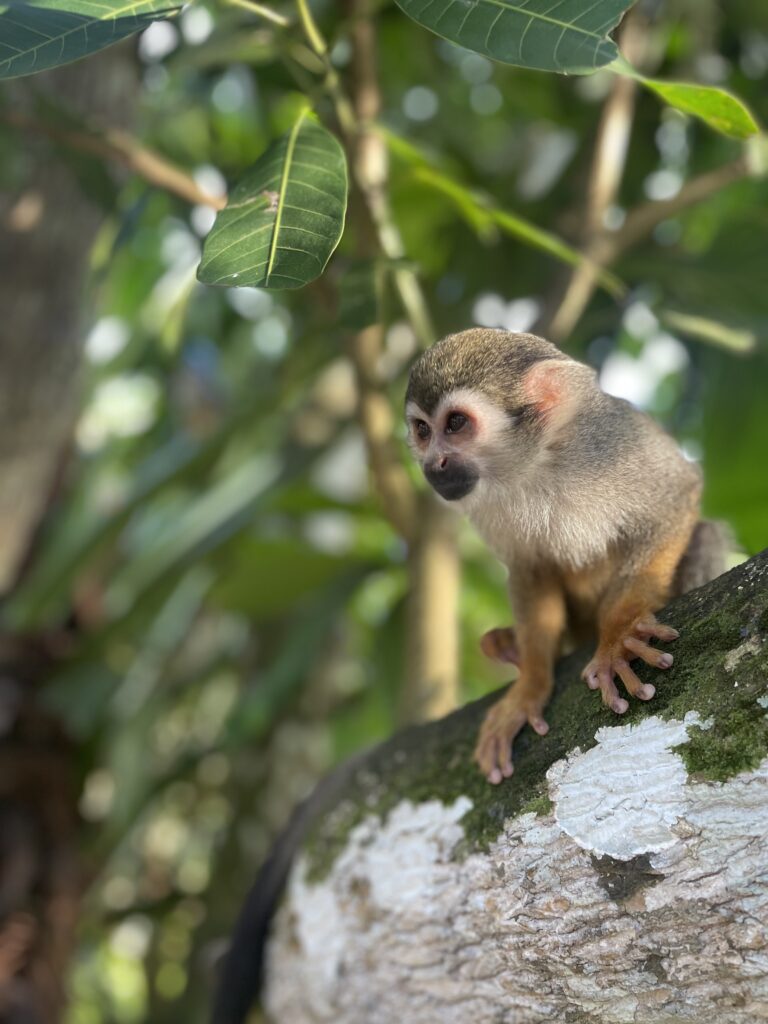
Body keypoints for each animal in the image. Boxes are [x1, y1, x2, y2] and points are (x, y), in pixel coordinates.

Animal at [405, 328, 727, 785]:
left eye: (455, 424)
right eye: (421, 430)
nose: (434, 463)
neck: (539, 462)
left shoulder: (614, 443)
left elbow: (675, 495)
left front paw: (619, 633)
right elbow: (531, 569)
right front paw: (530, 685)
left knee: (705, 534)